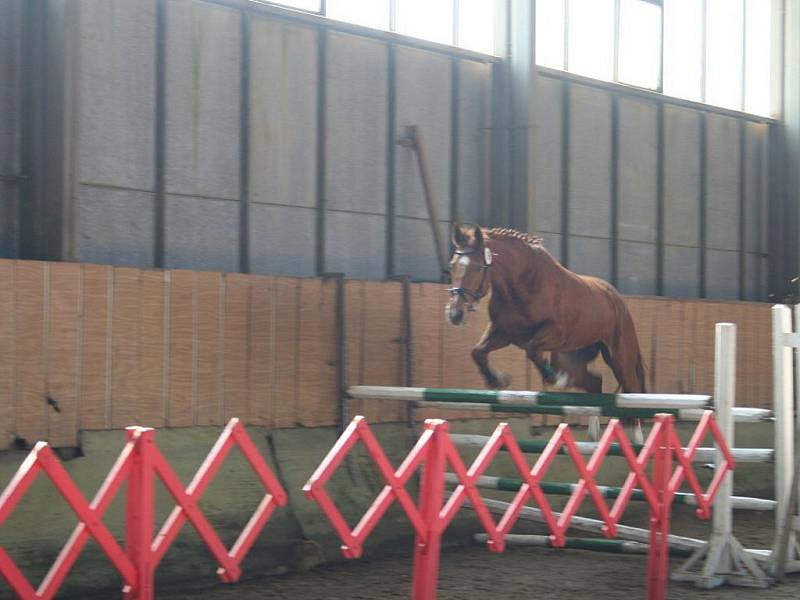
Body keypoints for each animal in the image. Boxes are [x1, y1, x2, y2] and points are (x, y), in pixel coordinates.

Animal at [446, 221, 648, 432]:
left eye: (478, 268)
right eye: (451, 266)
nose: (455, 315)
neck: (523, 283)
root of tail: (617, 300)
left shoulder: (555, 332)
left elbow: (532, 350)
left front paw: (554, 378)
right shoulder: (503, 333)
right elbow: (478, 351)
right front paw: (496, 380)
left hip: (620, 358)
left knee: (632, 390)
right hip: (569, 358)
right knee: (594, 383)